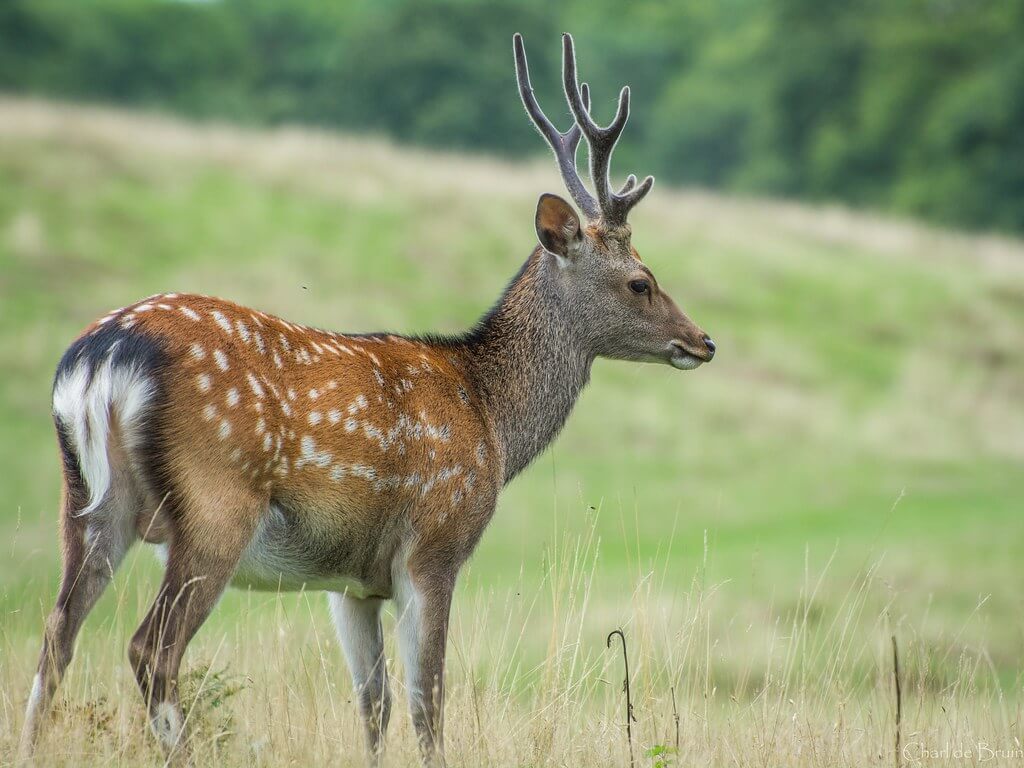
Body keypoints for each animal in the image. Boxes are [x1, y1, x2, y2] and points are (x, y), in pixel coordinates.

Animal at [22, 34, 712, 768]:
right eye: (641, 281)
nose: (703, 341)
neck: (492, 419)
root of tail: (103, 356)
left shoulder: (350, 582)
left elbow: (373, 704)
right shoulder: (435, 544)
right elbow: (427, 703)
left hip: (87, 501)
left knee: (56, 635)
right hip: (216, 502)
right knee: (150, 647)